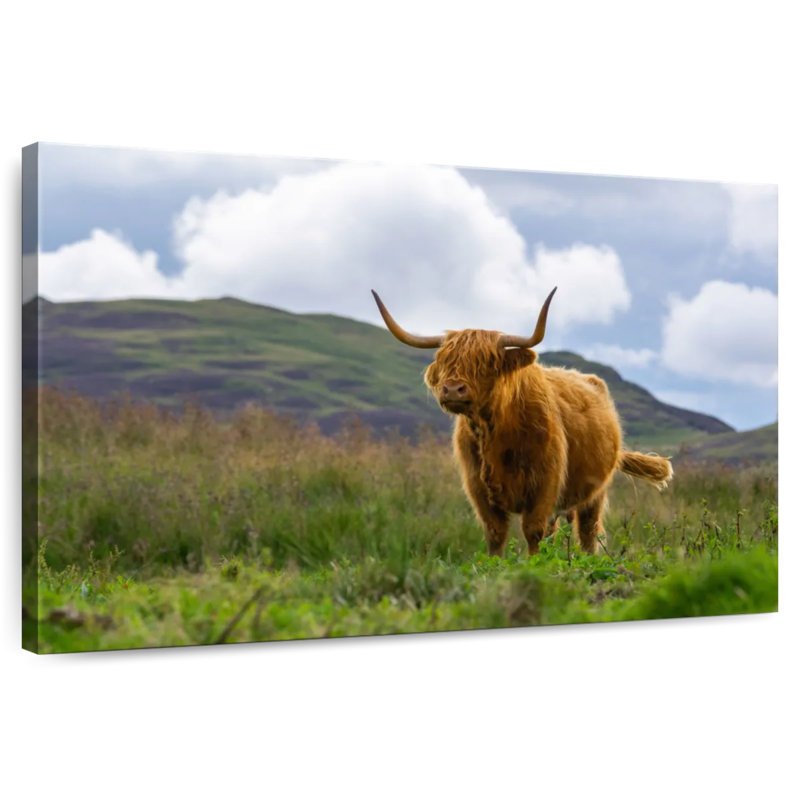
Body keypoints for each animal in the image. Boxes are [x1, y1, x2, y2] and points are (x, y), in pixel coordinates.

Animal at [371, 287, 673, 556]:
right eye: (444, 360)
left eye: (486, 362)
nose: (453, 389)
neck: (495, 433)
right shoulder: (477, 486)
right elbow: (495, 533)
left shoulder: (545, 484)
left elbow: (534, 532)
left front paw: (535, 565)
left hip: (595, 492)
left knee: (588, 533)